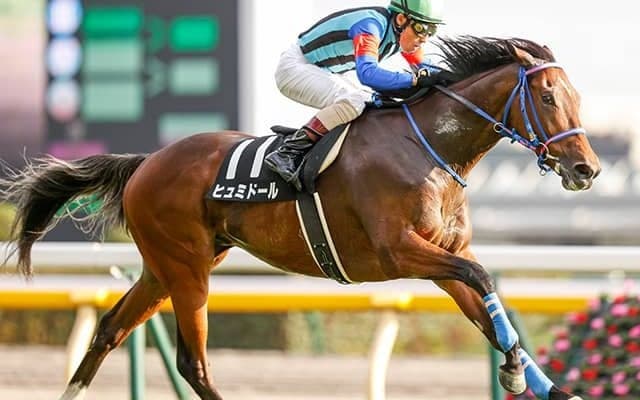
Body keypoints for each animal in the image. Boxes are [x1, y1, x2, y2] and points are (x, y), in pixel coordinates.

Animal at [0, 36, 600, 400]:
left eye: (576, 96)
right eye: (549, 97)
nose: (586, 169)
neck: (429, 148)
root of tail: (148, 161)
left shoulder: (443, 256)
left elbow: (489, 307)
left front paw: (543, 382)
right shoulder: (400, 252)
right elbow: (482, 281)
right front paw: (516, 373)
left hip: (164, 266)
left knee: (108, 329)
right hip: (188, 271)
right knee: (193, 363)